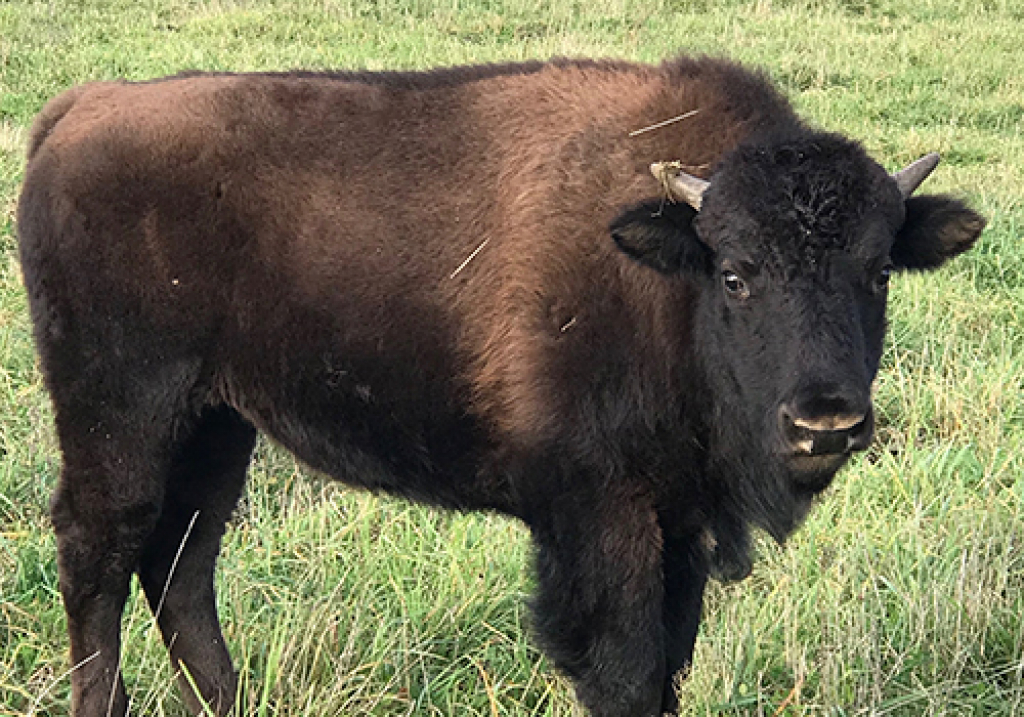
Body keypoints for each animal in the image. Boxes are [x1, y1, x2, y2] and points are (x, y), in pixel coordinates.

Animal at [17, 55, 984, 716]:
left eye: (878, 272)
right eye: (737, 273)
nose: (826, 422)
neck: (664, 274)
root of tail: (80, 109)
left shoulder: (678, 521)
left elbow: (669, 663)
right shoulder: (598, 515)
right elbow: (624, 671)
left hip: (218, 423)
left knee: (181, 562)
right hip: (121, 414)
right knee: (100, 550)